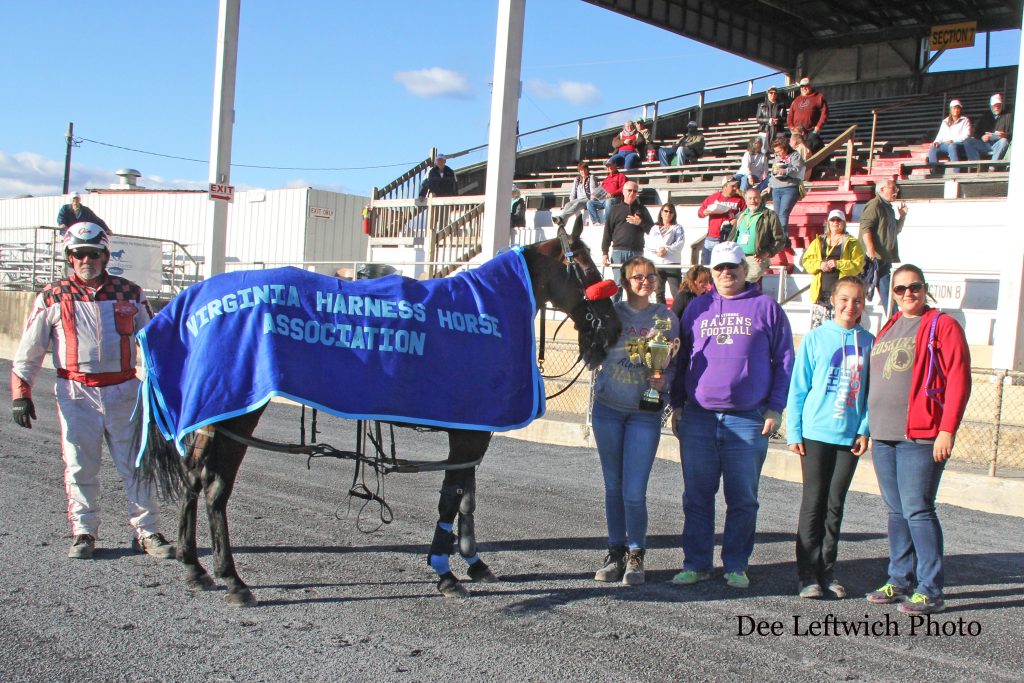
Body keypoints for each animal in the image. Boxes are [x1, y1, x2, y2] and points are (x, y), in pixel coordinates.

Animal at [139, 225, 618, 610]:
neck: (488, 310)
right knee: (216, 486)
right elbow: (451, 496)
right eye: (588, 269)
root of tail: (186, 301)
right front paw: (444, 570)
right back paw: (232, 579)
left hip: (217, 414)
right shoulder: (467, 433)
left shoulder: (473, 426)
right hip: (236, 412)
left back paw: (194, 566)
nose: (611, 330)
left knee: (194, 476)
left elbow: (466, 497)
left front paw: (472, 561)